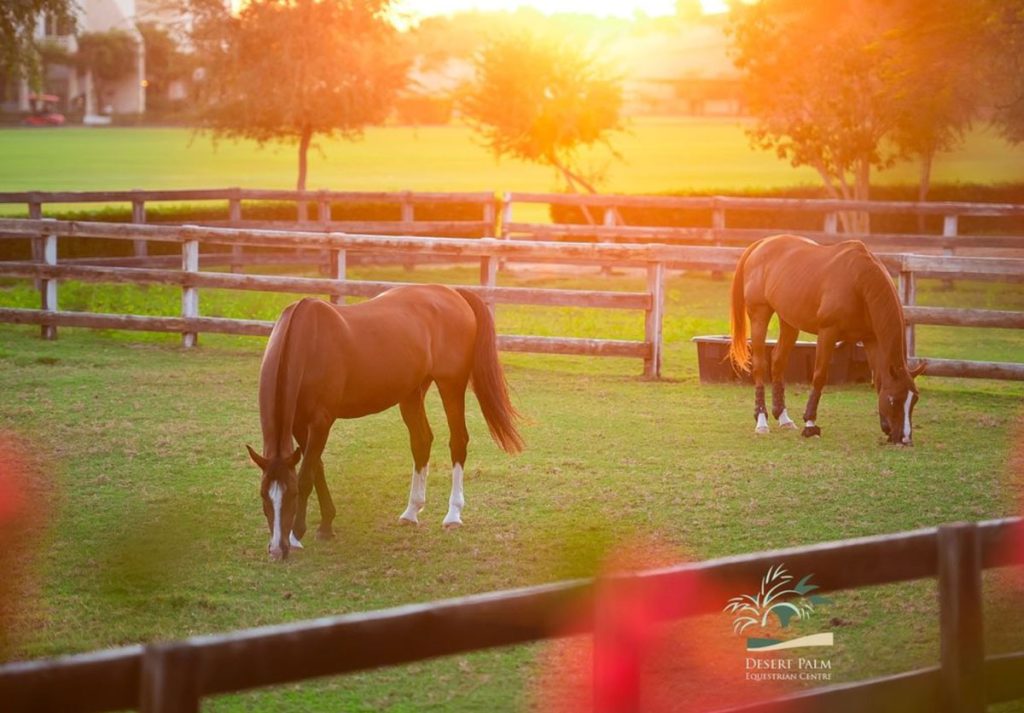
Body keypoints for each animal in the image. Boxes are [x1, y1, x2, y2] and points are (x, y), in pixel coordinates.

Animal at [244, 286, 524, 561]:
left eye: (290, 494)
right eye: (263, 495)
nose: (276, 549)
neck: (307, 340)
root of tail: (453, 293)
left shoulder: (321, 421)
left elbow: (306, 477)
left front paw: (296, 535)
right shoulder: (300, 424)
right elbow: (316, 468)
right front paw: (326, 524)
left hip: (451, 385)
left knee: (458, 441)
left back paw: (453, 515)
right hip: (412, 392)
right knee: (421, 441)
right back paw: (411, 512)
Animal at [733, 236, 925, 442]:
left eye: (914, 400)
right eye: (894, 400)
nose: (905, 438)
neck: (859, 281)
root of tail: (761, 244)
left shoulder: (871, 339)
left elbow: (880, 378)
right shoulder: (827, 333)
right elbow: (819, 376)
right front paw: (810, 424)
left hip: (789, 321)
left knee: (777, 361)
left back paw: (784, 418)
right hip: (759, 315)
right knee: (759, 365)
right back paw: (761, 420)